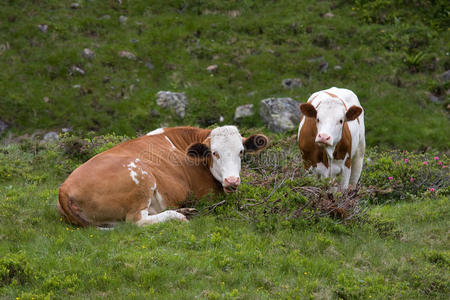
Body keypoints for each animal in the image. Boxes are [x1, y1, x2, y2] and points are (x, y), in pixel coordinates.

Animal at [56, 125, 268, 226]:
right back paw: (179, 216)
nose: (232, 181)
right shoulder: (207, 194)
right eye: (214, 153)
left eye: (241, 151)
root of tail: (64, 188)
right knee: (136, 221)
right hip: (142, 178)